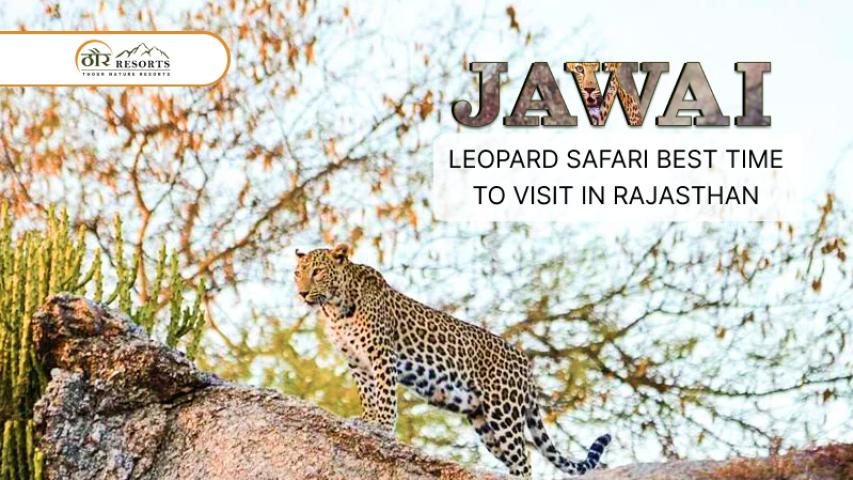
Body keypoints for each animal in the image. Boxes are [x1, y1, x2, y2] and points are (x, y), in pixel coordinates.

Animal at [294, 244, 612, 478]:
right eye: (297, 273)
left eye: (317, 272)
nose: (302, 292)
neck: (335, 309)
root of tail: (525, 362)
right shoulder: (356, 362)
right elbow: (368, 393)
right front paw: (367, 420)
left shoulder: (381, 354)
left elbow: (384, 393)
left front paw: (382, 425)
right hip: (483, 421)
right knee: (515, 458)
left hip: (504, 412)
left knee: (524, 460)